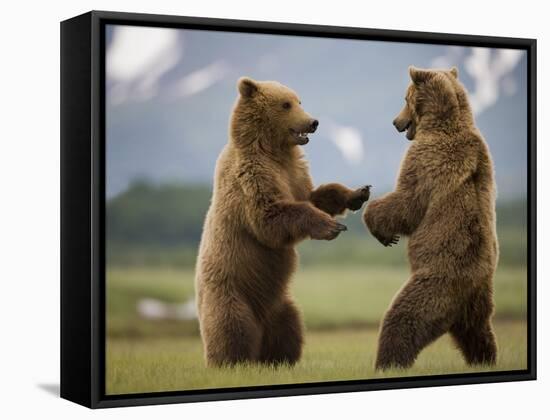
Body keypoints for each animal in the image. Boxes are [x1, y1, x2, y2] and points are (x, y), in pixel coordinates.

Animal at [196, 77, 374, 366]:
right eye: (286, 104)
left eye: (299, 100)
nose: (313, 122)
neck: (273, 150)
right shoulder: (252, 177)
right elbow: (271, 216)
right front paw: (332, 226)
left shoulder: (295, 173)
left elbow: (315, 196)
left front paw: (357, 193)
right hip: (230, 293)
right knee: (232, 327)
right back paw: (233, 361)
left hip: (280, 303)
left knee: (290, 326)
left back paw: (278, 359)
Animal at [366, 66, 500, 370]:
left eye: (405, 98)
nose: (395, 122)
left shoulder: (427, 159)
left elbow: (408, 201)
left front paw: (379, 227)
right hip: (479, 299)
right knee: (478, 331)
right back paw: (485, 359)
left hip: (438, 282)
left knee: (404, 318)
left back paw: (388, 363)